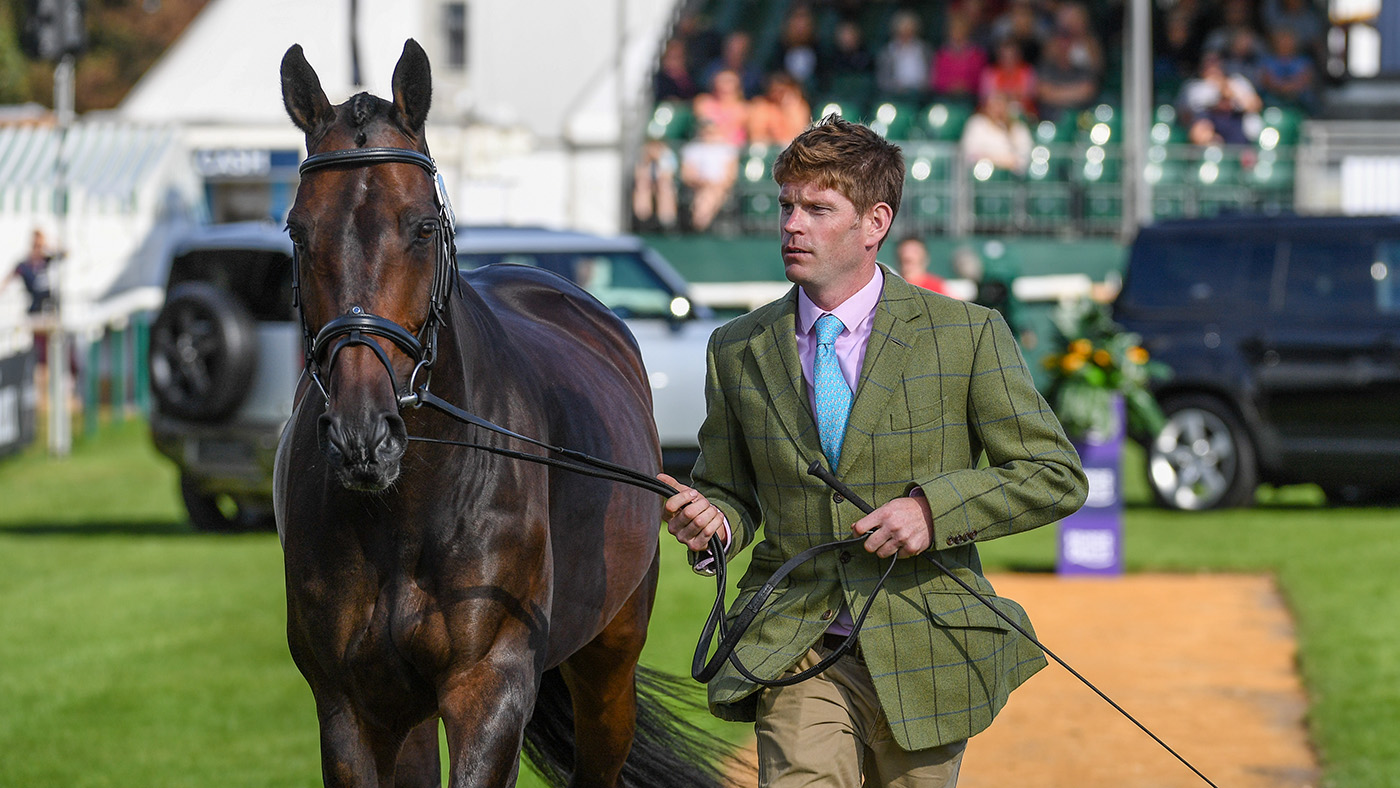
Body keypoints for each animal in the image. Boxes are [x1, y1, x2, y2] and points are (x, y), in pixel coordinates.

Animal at [273, 40, 736, 788]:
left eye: (421, 226)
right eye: (298, 230)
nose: (363, 434)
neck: (406, 512)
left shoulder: (489, 682)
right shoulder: (352, 703)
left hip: (610, 662)